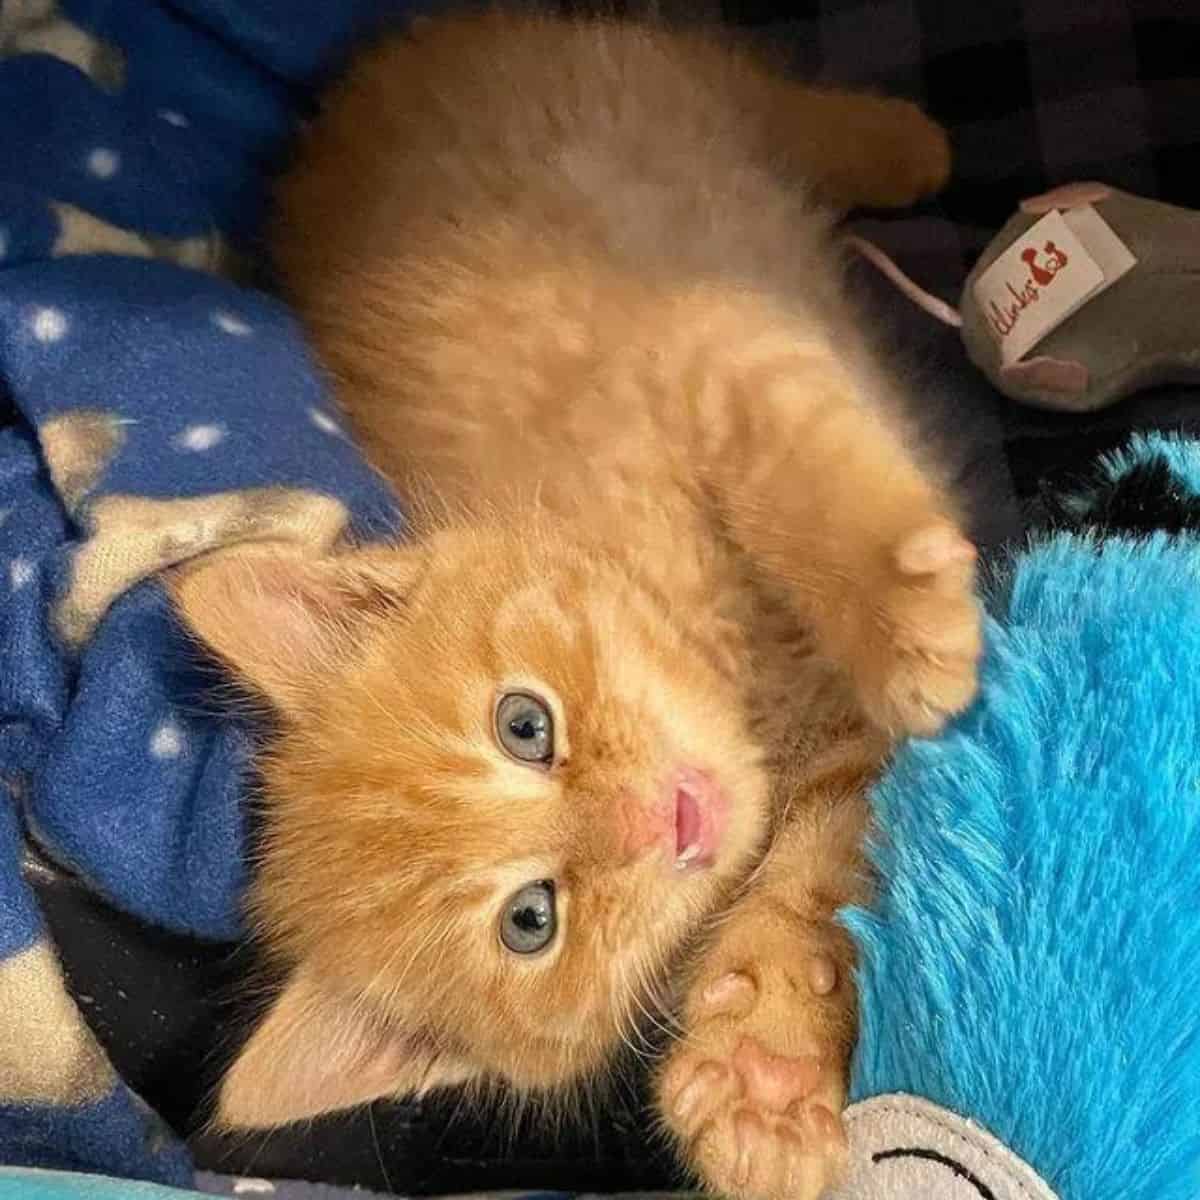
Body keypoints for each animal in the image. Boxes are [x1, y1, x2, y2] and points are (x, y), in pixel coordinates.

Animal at [174, 11, 979, 1200]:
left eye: (524, 724)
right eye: (532, 920)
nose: (665, 817)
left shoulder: (712, 349)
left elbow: (801, 467)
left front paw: (904, 618)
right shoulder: (829, 770)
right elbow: (818, 875)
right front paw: (763, 1070)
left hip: (641, 91)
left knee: (761, 97)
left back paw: (899, 142)